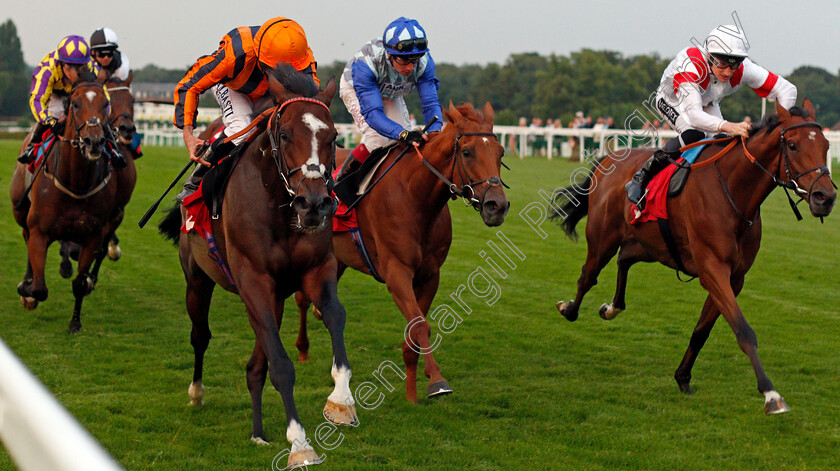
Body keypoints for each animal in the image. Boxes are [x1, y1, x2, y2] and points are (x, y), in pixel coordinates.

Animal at [9, 72, 125, 334]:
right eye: (75, 104)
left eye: (105, 103)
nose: (94, 141)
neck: (76, 182)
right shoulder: (40, 231)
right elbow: (40, 289)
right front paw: (27, 290)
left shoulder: (92, 237)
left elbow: (80, 283)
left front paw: (75, 322)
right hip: (20, 210)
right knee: (25, 236)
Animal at [158, 63, 354, 468]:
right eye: (285, 133)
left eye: (332, 136)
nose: (314, 204)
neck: (279, 206)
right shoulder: (253, 280)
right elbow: (280, 365)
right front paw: (299, 443)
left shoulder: (317, 269)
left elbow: (334, 316)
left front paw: (341, 400)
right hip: (197, 279)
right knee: (200, 335)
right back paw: (197, 393)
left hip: (274, 296)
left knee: (255, 365)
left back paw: (258, 431)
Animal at [294, 103, 506, 402]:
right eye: (467, 152)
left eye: (501, 152)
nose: (497, 206)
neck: (415, 197)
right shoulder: (397, 272)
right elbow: (420, 326)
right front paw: (437, 381)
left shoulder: (430, 275)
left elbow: (415, 329)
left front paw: (412, 394)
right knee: (302, 299)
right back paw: (303, 349)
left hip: (340, 257)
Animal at [556, 98, 836, 412]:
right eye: (793, 146)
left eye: (826, 144)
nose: (825, 197)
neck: (734, 191)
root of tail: (608, 159)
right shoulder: (712, 270)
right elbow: (744, 331)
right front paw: (771, 395)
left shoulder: (734, 277)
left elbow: (702, 330)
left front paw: (682, 377)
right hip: (603, 238)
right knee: (588, 276)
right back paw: (569, 309)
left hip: (652, 246)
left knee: (624, 258)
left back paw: (612, 307)